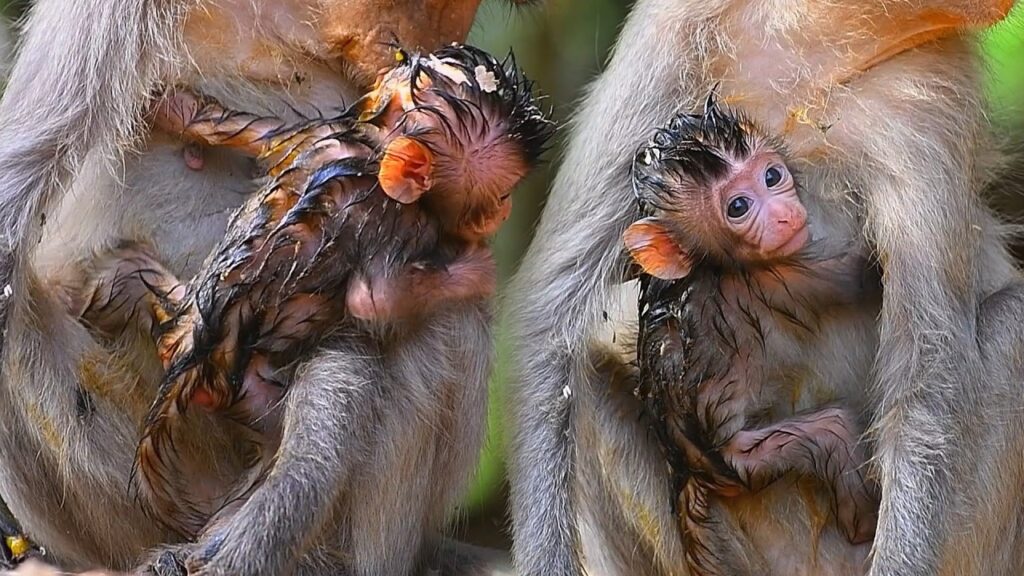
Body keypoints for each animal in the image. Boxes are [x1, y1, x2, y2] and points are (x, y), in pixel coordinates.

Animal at [625, 100, 880, 575]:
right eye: (739, 206)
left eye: (772, 177)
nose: (784, 215)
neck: (711, 269)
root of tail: (688, 470)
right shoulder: (781, 278)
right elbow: (859, 276)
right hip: (746, 459)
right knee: (833, 432)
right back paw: (862, 523)